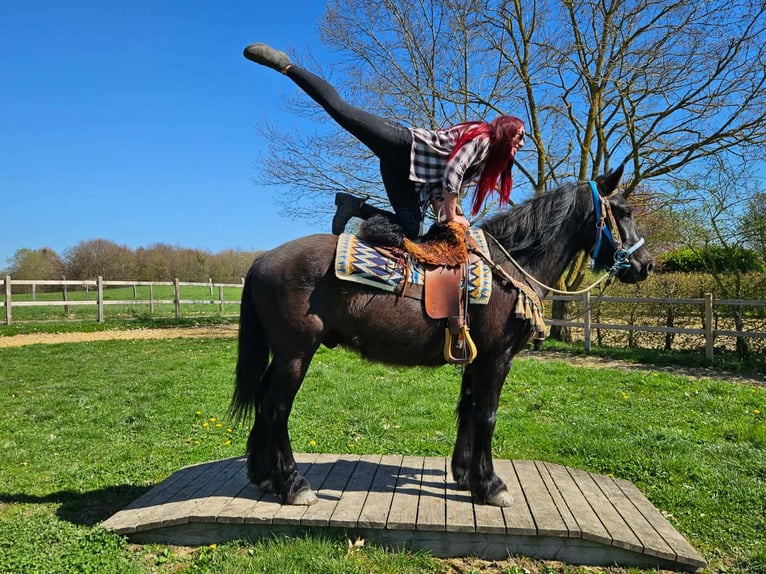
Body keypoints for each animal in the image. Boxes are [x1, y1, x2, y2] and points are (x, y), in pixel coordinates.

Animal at [230, 163, 653, 507]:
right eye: (624, 211)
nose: (645, 265)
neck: (510, 265)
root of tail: (262, 260)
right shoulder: (496, 358)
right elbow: (487, 415)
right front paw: (492, 485)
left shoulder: (475, 359)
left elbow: (468, 409)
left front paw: (466, 476)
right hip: (296, 353)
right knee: (276, 407)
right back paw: (293, 484)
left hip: (284, 354)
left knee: (263, 403)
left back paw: (265, 476)